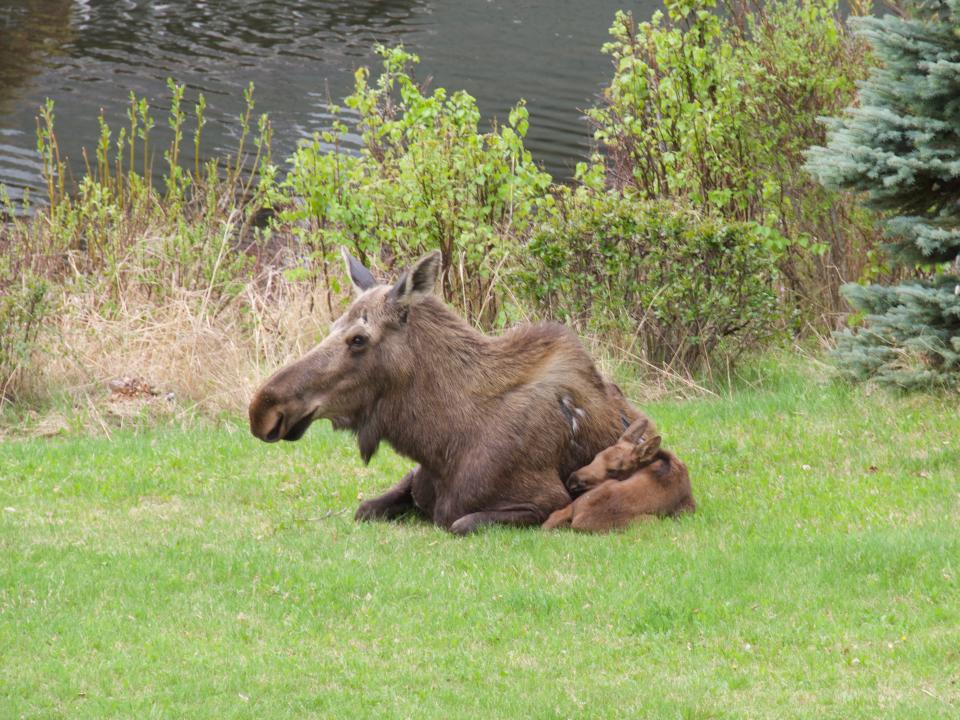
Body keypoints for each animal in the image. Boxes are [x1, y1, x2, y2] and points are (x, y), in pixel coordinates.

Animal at [248, 250, 652, 532]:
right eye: (333, 327)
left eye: (358, 339)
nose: (263, 408)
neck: (440, 443)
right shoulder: (413, 478)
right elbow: (364, 509)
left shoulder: (545, 499)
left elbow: (460, 522)